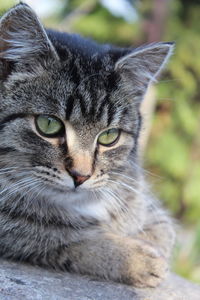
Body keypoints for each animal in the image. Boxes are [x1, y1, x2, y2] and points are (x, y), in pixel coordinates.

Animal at [0, 2, 175, 288]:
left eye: (109, 136)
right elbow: (57, 234)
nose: (80, 176)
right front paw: (133, 256)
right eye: (48, 124)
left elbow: (162, 227)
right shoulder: (16, 226)